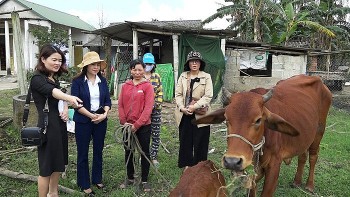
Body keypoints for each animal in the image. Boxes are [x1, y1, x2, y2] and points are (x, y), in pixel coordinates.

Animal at [194, 74, 330, 196]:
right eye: (226, 119)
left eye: (258, 120)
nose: (232, 161)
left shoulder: (274, 166)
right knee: (303, 155)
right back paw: (297, 181)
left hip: (319, 131)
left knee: (313, 156)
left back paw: (309, 185)